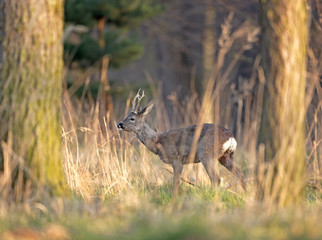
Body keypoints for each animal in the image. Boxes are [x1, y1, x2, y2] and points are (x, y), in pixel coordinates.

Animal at [117, 89, 245, 194]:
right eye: (126, 116)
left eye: (132, 118)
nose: (119, 124)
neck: (158, 142)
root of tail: (231, 137)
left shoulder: (176, 159)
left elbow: (176, 182)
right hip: (226, 156)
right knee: (240, 174)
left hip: (206, 153)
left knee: (216, 179)